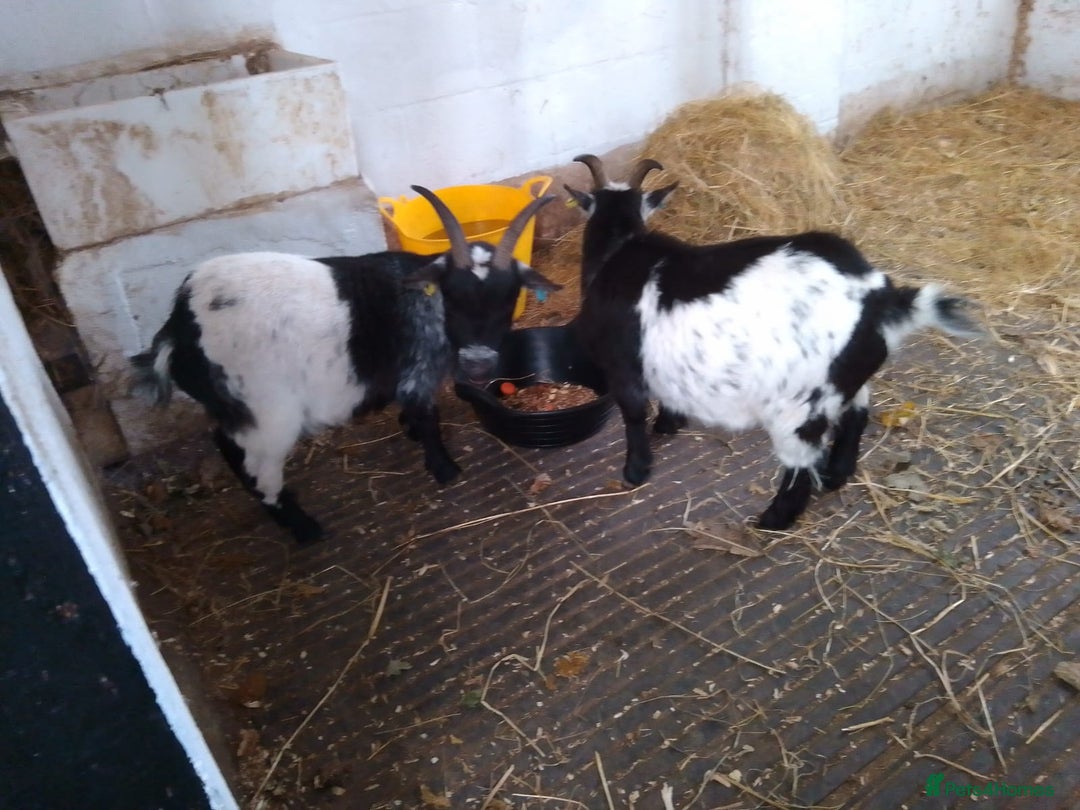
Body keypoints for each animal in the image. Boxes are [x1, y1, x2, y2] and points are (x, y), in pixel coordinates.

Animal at [132, 187, 559, 543]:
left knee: (223, 441)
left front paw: (411, 432)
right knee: (254, 462)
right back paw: (303, 528)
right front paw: (444, 469)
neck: (426, 300)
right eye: (452, 298)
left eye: (508, 300)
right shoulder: (417, 371)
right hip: (267, 414)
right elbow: (428, 416)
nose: (478, 365)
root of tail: (178, 329)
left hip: (235, 409)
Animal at [565, 154, 979, 530]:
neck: (619, 249)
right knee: (856, 414)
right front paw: (670, 423)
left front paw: (636, 471)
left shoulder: (622, 366)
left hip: (799, 406)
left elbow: (634, 415)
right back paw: (836, 475)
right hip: (844, 380)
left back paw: (774, 519)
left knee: (801, 462)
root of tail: (881, 299)